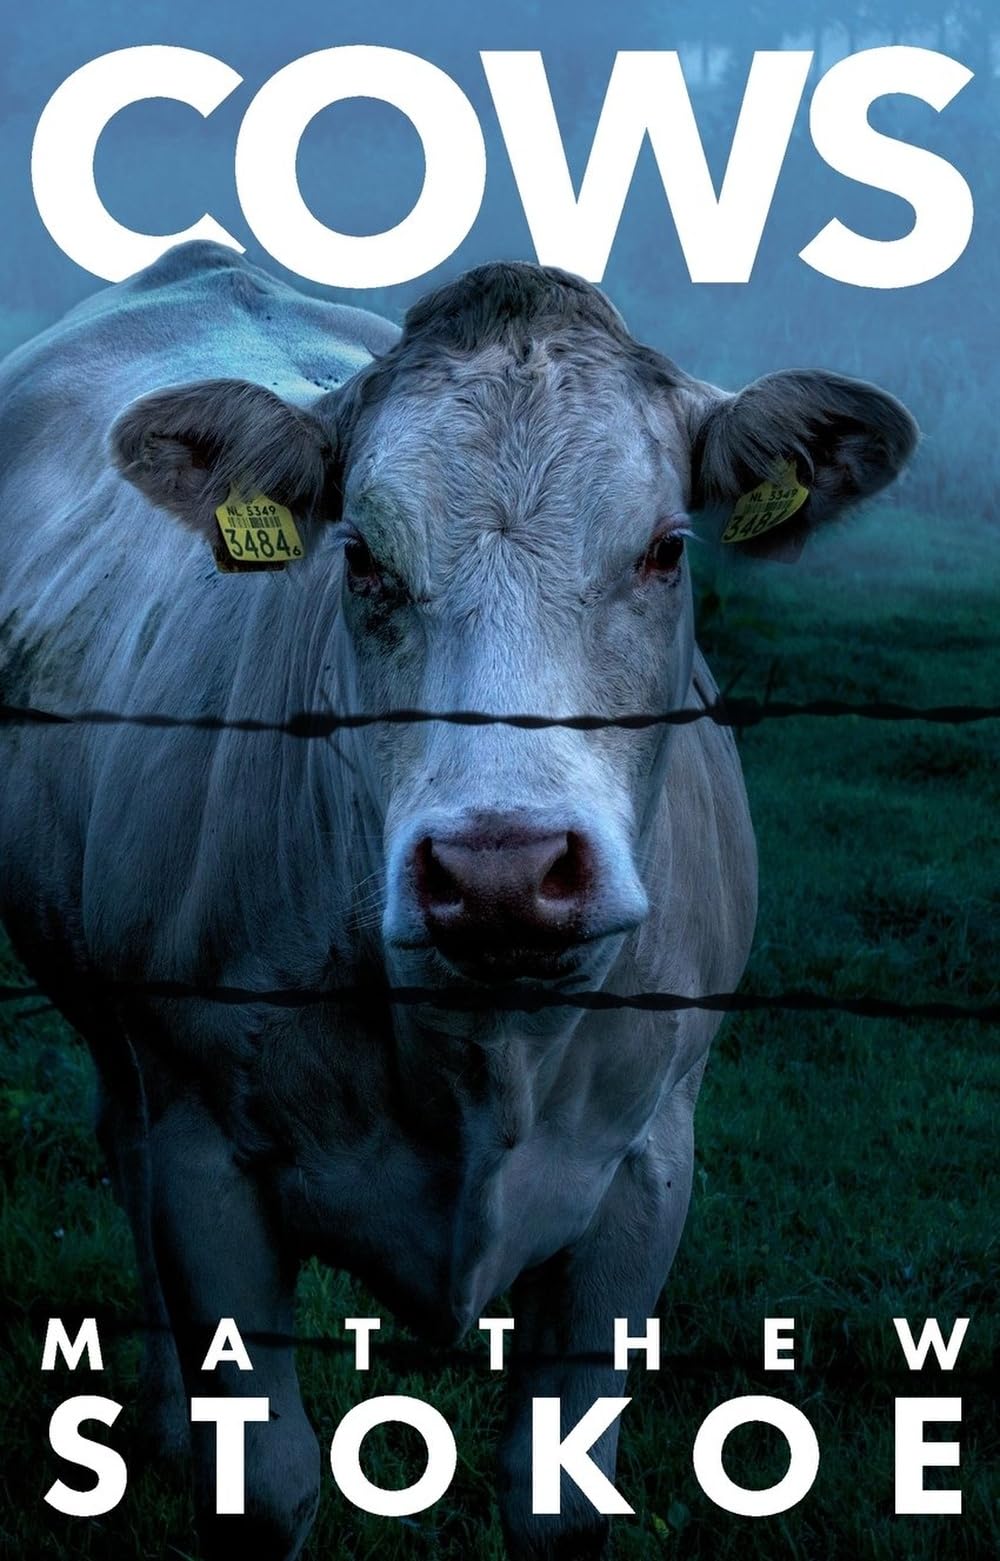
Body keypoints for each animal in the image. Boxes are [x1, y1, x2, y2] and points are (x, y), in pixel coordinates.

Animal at [0, 241, 916, 1560]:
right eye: (361, 558)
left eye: (665, 548)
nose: (501, 869)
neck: (479, 1047)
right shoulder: (208, 1160)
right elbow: (266, 1484)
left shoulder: (646, 1171)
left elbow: (557, 1502)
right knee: (123, 1148)